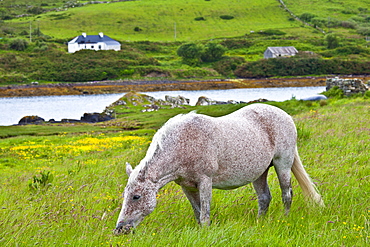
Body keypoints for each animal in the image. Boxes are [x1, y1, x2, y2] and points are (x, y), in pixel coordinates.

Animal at [113, 103, 324, 234]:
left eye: (136, 196)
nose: (119, 229)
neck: (183, 143)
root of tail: (285, 115)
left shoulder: (205, 181)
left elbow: (205, 214)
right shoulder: (187, 186)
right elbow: (198, 213)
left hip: (283, 164)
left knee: (286, 194)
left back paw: (284, 219)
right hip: (260, 172)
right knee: (264, 198)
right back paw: (259, 223)